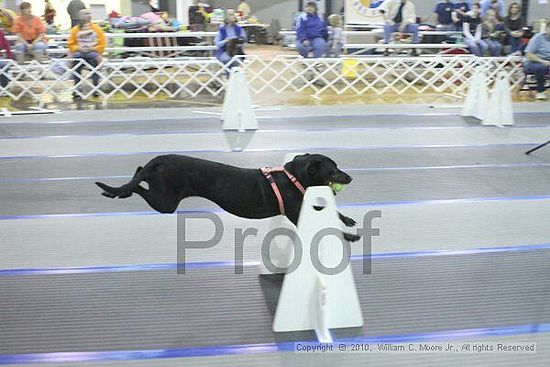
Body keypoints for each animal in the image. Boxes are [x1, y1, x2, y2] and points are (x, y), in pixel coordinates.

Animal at [96, 155, 362, 242]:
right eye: (333, 169)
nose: (349, 177)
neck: (294, 176)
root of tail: (160, 159)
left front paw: (347, 220)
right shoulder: (296, 211)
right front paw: (349, 236)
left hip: (162, 193)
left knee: (139, 170)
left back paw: (120, 189)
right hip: (166, 201)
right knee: (140, 184)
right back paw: (115, 191)